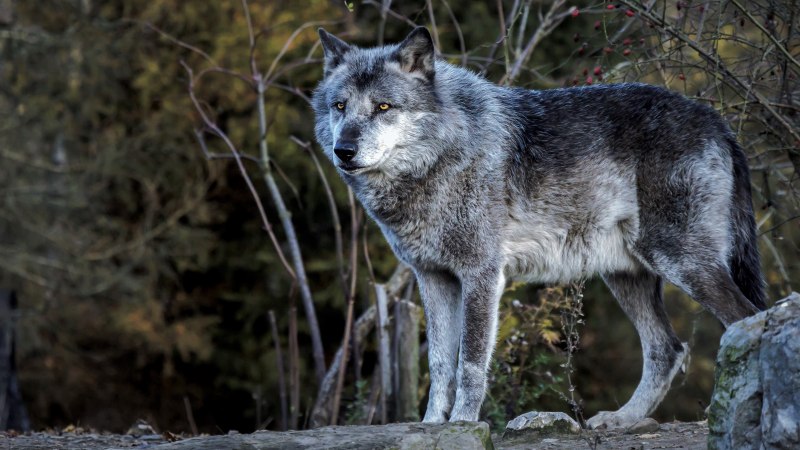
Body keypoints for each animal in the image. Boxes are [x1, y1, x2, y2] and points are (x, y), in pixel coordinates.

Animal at [312, 27, 765, 428]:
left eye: (383, 107)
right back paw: (622, 420)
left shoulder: (481, 275)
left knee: (744, 319)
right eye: (340, 106)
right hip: (626, 274)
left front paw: (462, 424)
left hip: (679, 261)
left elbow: (470, 363)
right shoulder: (434, 277)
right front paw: (430, 425)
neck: (444, 152)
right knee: (666, 350)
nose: (344, 150)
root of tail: (718, 123)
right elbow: (440, 363)